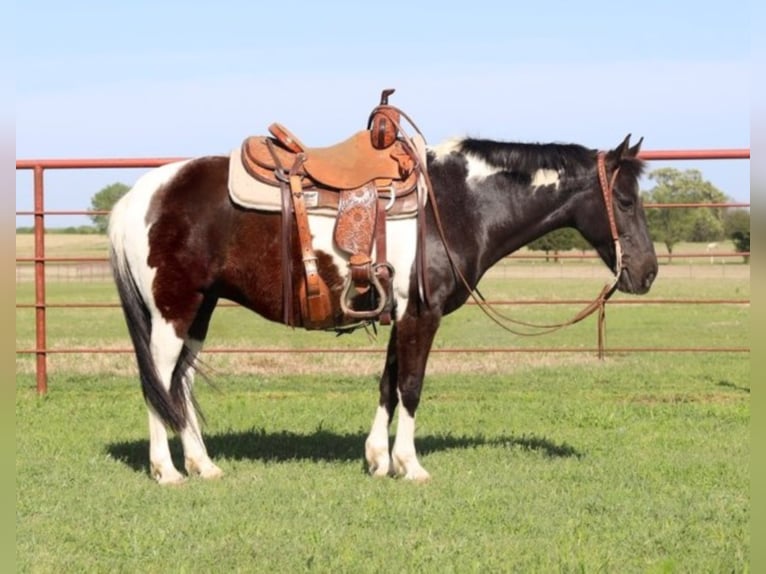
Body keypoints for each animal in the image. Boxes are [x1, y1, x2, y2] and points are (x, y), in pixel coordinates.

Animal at [108, 109, 660, 486]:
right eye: (625, 200)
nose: (648, 273)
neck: (455, 205)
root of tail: (138, 197)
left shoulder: (401, 314)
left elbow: (388, 383)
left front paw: (377, 459)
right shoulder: (423, 314)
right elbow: (411, 386)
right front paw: (410, 465)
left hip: (198, 312)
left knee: (179, 383)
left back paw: (203, 465)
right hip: (172, 311)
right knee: (158, 380)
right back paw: (166, 471)